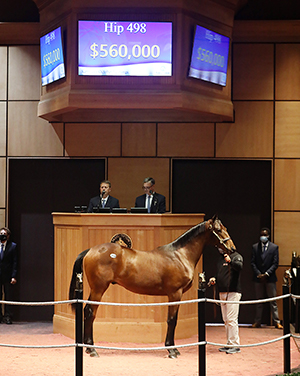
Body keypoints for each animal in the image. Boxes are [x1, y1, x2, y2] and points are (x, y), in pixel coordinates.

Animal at [69, 214, 236, 358]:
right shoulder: (175, 293)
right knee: (90, 312)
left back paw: (88, 348)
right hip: (98, 289)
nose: (232, 249)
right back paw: (92, 349)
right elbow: (172, 320)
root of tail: (90, 250)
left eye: (225, 227)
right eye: (218, 230)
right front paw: (171, 350)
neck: (180, 255)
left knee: (87, 311)